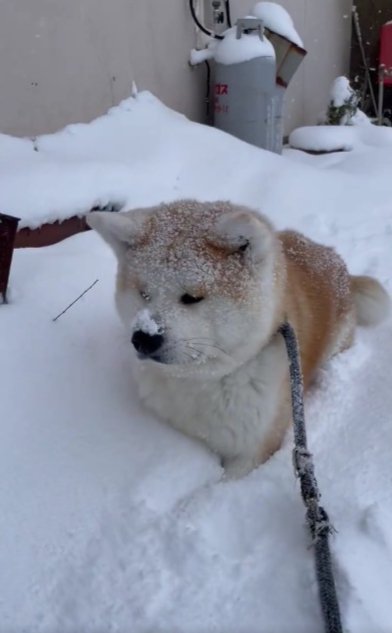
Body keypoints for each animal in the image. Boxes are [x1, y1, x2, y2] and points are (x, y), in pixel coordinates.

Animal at [87, 200, 390, 476]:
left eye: (192, 298)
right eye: (144, 294)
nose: (144, 338)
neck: (201, 380)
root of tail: (338, 263)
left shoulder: (252, 453)